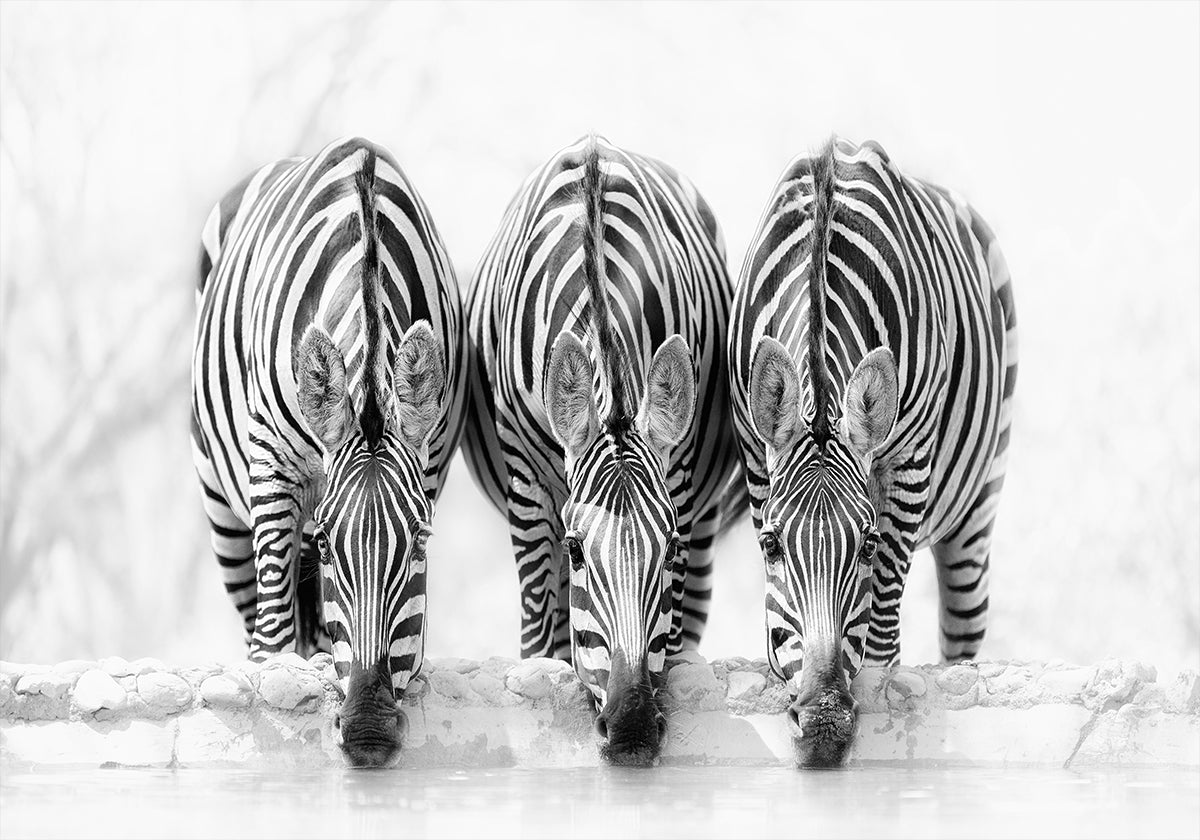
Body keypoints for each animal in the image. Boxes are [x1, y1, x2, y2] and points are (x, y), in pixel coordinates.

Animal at [191, 137, 466, 767]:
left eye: (420, 542)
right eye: (329, 547)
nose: (368, 732)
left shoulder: (431, 459)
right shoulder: (271, 463)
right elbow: (273, 631)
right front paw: (276, 683)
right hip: (222, 508)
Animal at [462, 135, 741, 765]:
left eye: (668, 549)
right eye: (576, 550)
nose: (632, 729)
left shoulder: (680, 480)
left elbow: (671, 629)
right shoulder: (527, 486)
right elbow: (541, 631)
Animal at [728, 137, 1017, 767]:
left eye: (865, 544)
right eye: (771, 545)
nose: (822, 725)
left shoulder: (909, 462)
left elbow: (885, 593)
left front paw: (879, 687)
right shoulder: (755, 453)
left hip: (978, 507)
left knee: (963, 626)